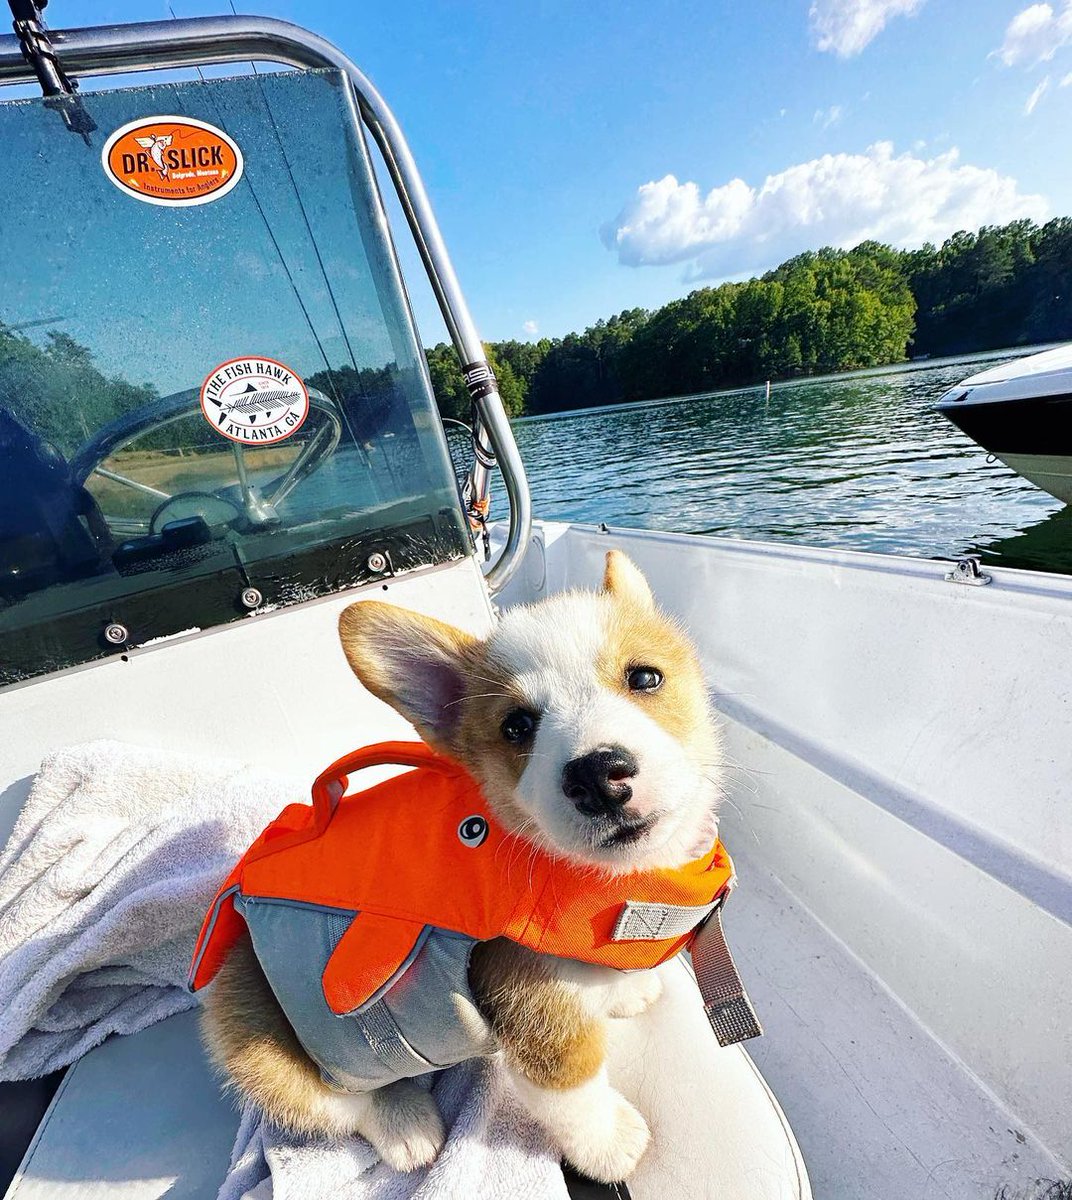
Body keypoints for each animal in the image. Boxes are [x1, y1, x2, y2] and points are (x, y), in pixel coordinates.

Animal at [200, 549, 720, 1180]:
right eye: (516, 726)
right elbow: (573, 1091)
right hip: (260, 1048)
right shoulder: (531, 1012)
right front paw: (611, 1144)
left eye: (645, 677)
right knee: (344, 1100)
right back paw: (406, 1126)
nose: (598, 776)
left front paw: (625, 992)